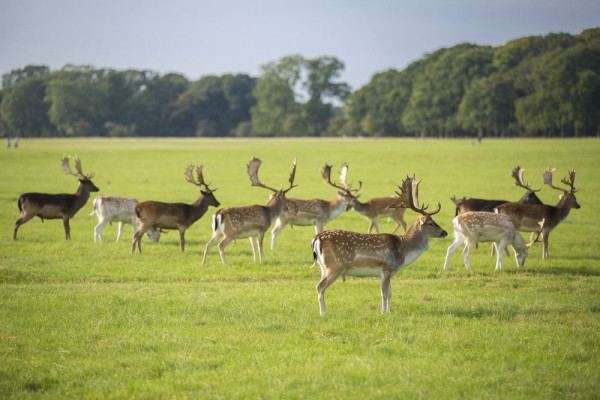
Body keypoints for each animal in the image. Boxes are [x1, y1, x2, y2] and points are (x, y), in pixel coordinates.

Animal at [312, 175, 448, 316]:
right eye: (430, 223)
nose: (445, 232)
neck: (404, 250)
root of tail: (317, 238)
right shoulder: (386, 268)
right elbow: (384, 293)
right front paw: (383, 312)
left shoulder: (390, 272)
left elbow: (390, 293)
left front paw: (388, 311)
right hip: (335, 266)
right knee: (320, 286)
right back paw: (323, 313)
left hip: (323, 267)